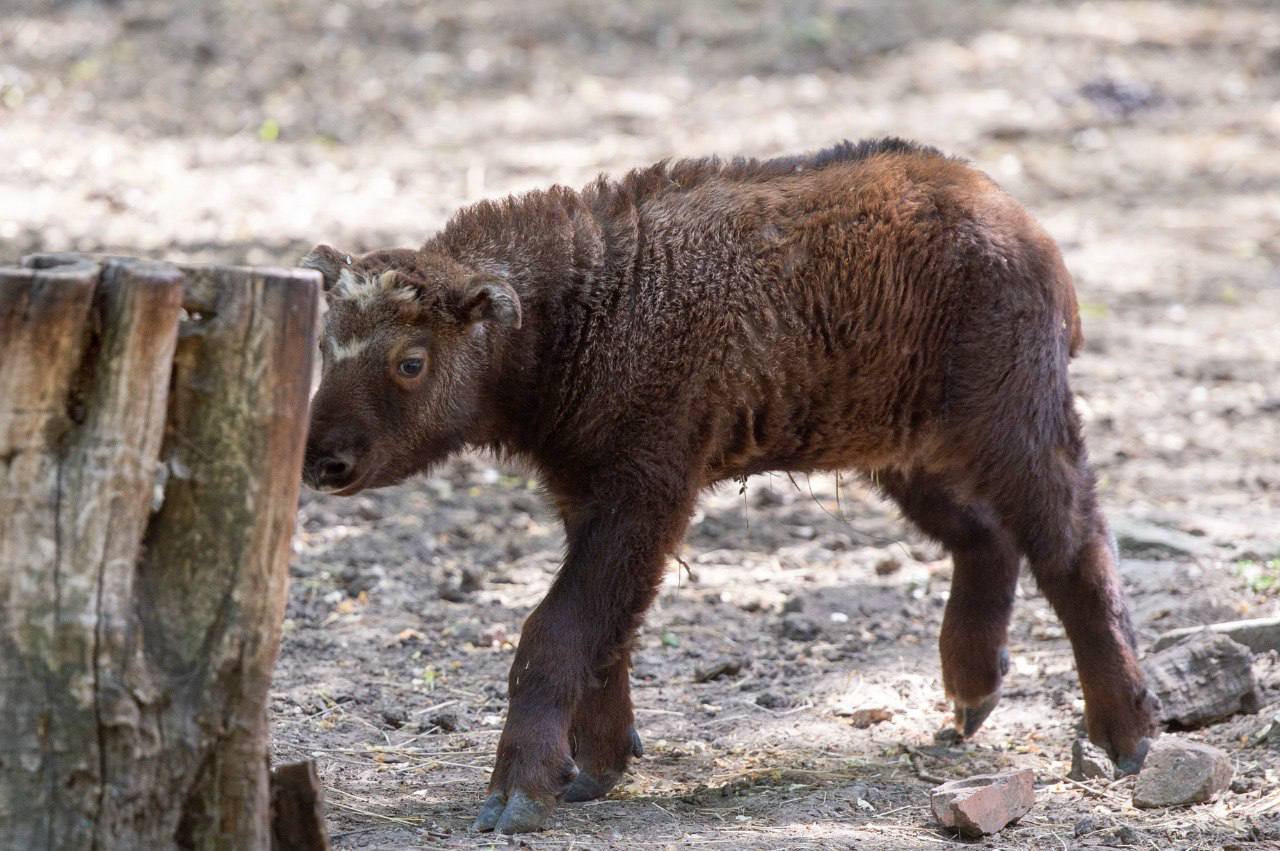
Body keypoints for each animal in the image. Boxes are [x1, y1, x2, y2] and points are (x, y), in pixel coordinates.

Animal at [307, 137, 1162, 829]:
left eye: (411, 360)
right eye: (323, 344)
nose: (322, 461)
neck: (577, 312)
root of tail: (1028, 228)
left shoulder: (647, 488)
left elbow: (557, 628)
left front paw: (518, 792)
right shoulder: (591, 495)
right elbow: (607, 629)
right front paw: (598, 766)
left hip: (1014, 421)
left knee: (1074, 543)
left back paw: (1128, 732)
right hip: (900, 447)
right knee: (986, 536)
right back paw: (974, 689)